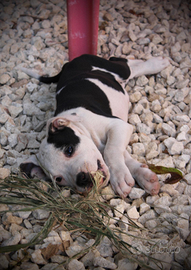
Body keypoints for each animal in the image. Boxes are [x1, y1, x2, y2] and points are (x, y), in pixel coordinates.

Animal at [20, 53, 169, 197]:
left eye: (69, 150)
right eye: (58, 179)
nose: (82, 178)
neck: (81, 126)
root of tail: (70, 63)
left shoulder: (118, 126)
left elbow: (111, 151)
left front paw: (119, 176)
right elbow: (124, 157)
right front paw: (144, 177)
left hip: (115, 68)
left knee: (125, 63)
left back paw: (157, 63)